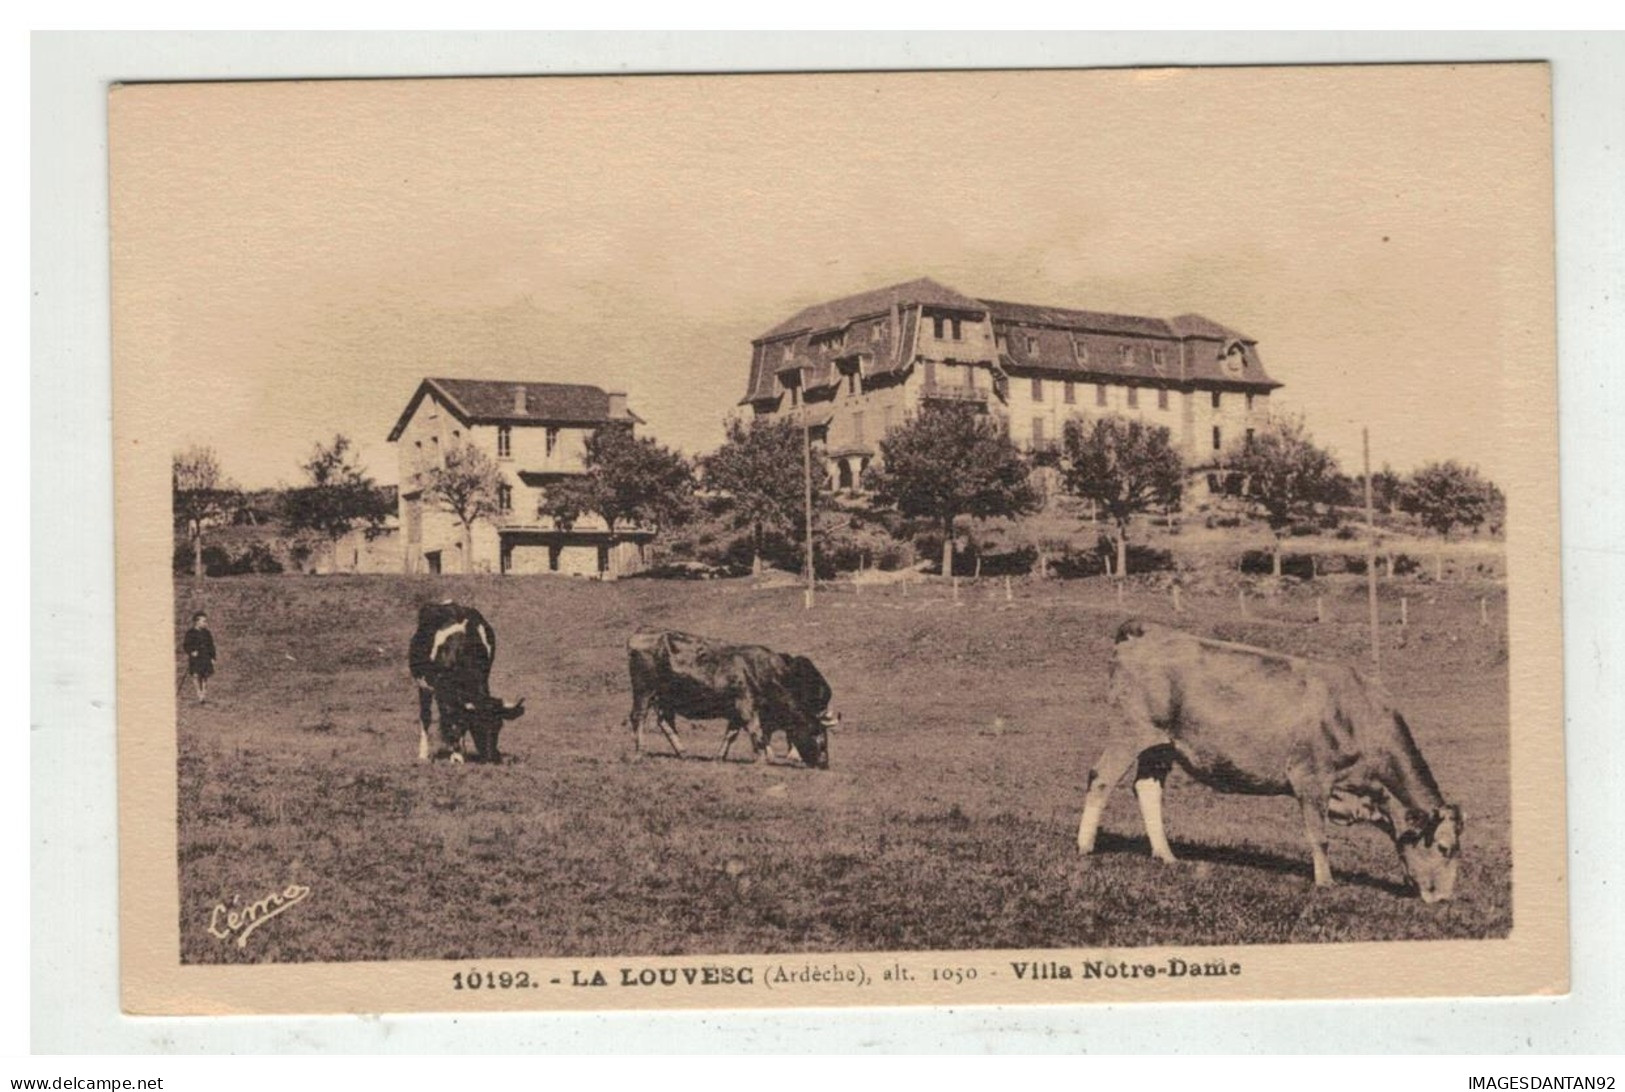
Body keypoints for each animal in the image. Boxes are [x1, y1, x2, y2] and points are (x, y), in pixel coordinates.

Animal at [406, 601, 526, 763]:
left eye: (499, 726)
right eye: (476, 725)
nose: (491, 758)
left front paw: (459, 751)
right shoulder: (441, 690)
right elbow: (451, 720)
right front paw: (456, 755)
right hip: (423, 684)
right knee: (426, 716)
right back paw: (424, 754)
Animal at [624, 630, 838, 767]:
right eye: (820, 737)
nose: (824, 763)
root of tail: (640, 634)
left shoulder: (736, 711)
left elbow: (731, 734)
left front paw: (720, 757)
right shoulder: (746, 705)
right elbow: (756, 730)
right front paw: (761, 760)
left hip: (666, 698)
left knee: (665, 722)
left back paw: (683, 753)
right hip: (644, 689)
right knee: (638, 717)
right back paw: (640, 753)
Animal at [1072, 617, 1469, 897]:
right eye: (1445, 848)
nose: (1444, 899)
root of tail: (1147, 630)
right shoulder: (1312, 776)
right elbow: (1319, 836)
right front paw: (1326, 882)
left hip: (1162, 745)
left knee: (1147, 788)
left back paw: (1166, 855)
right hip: (1131, 729)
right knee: (1101, 778)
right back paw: (1085, 847)